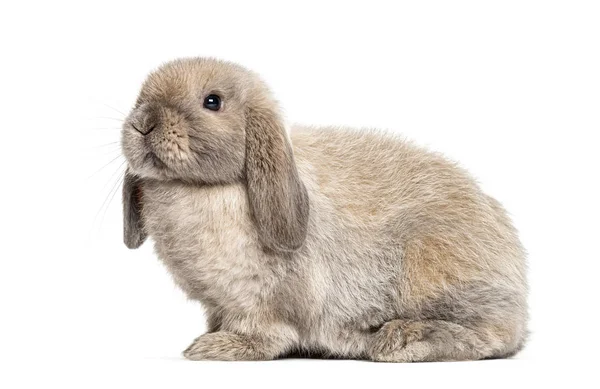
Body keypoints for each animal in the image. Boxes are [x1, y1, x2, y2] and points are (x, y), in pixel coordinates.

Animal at [120, 56, 524, 360]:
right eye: (139, 97)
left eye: (213, 101)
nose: (142, 123)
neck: (199, 188)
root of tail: (520, 280)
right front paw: (209, 337)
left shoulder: (261, 298)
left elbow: (264, 331)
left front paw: (219, 347)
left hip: (430, 272)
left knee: (493, 337)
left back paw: (398, 341)